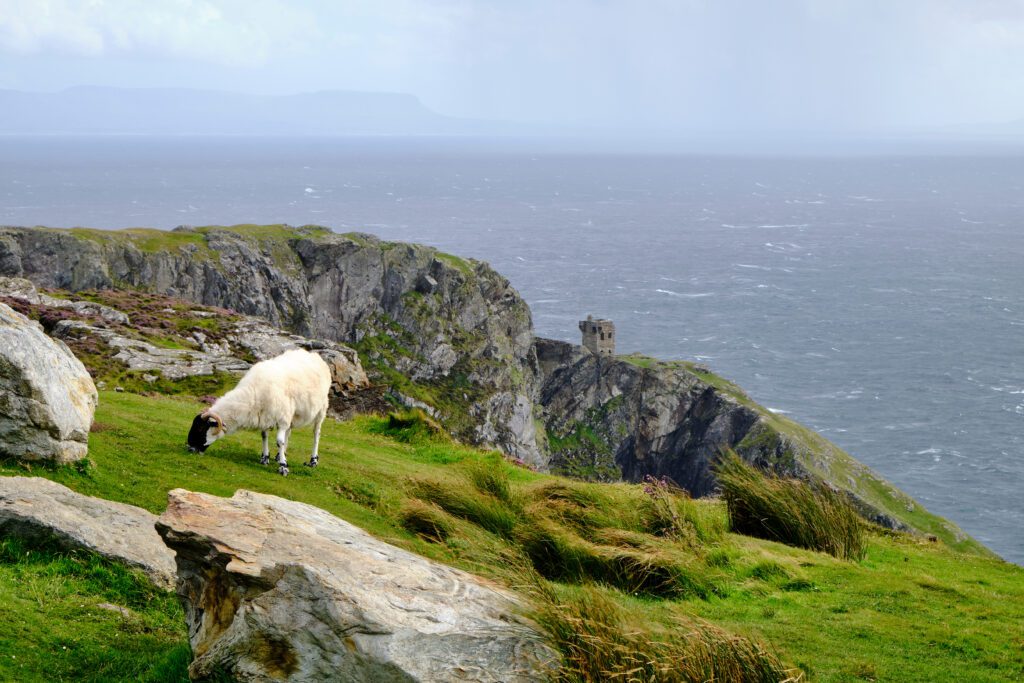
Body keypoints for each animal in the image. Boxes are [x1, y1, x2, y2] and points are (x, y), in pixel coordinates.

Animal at [188, 348, 331, 475]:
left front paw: (283, 467)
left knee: (316, 433)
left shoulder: (281, 417)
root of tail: (314, 355)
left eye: (200, 429)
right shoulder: (265, 416)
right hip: (291, 413)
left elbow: (279, 441)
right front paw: (265, 458)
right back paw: (279, 455)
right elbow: (264, 436)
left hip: (321, 408)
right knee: (289, 433)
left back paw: (313, 460)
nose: (189, 448)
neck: (253, 393)